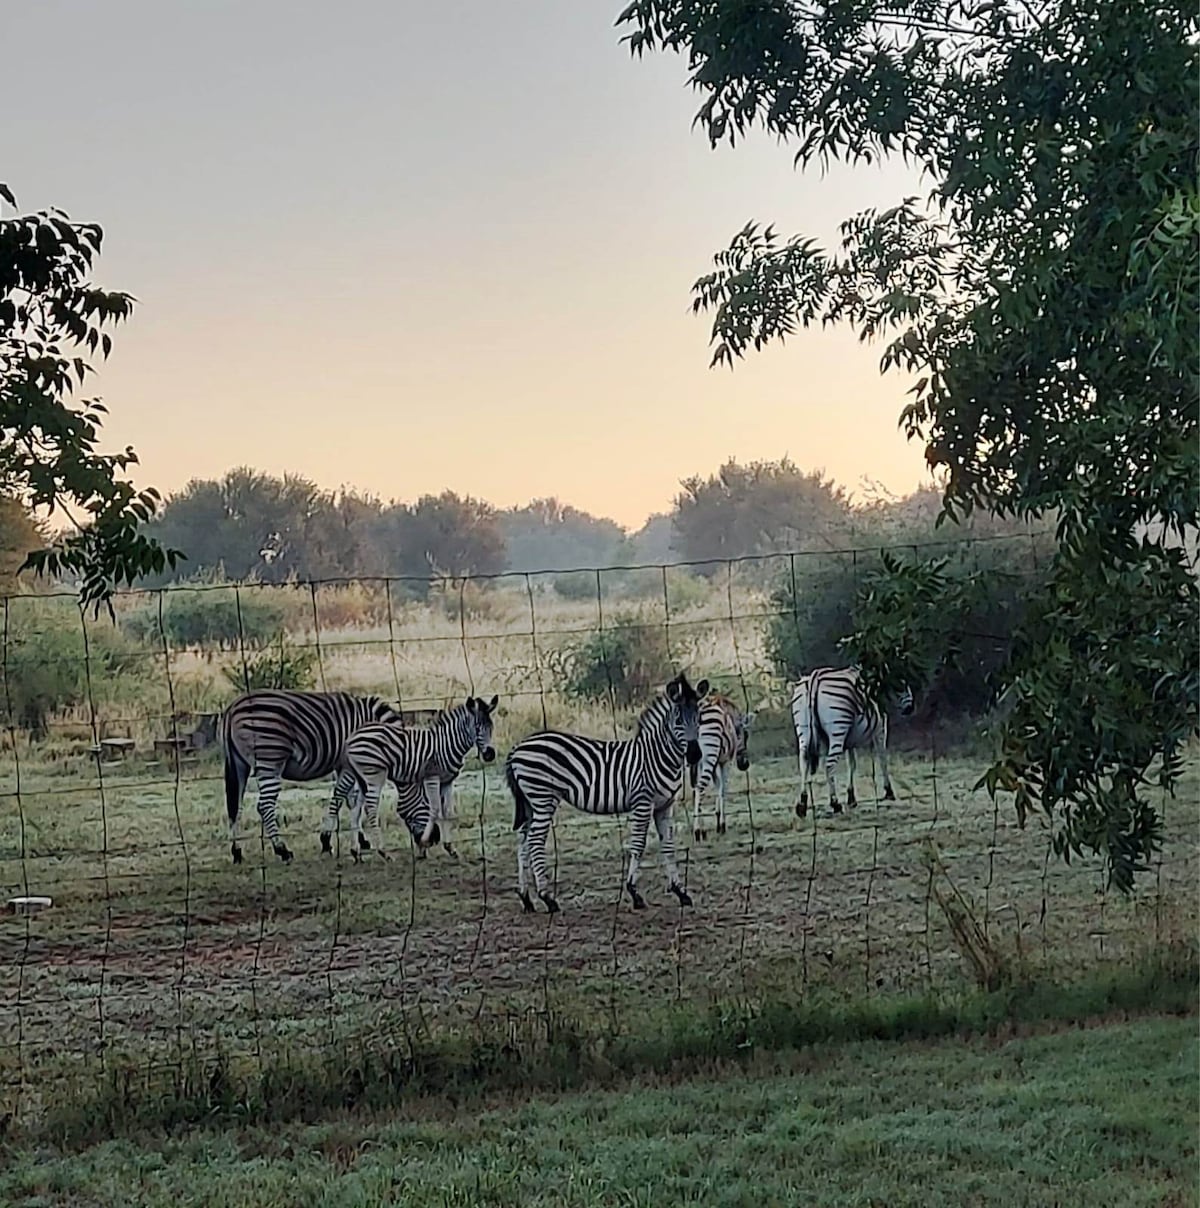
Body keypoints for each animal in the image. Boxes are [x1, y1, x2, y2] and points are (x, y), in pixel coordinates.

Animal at [217, 690, 401, 869]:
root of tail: (232, 709)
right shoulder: (349, 765)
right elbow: (339, 797)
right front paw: (326, 840)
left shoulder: (346, 766)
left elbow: (351, 801)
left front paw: (361, 840)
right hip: (270, 758)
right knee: (265, 806)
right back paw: (282, 850)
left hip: (240, 764)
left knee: (235, 808)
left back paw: (237, 851)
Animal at [326, 695, 497, 864]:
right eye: (477, 727)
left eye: (491, 727)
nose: (490, 754)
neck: (447, 744)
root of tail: (352, 737)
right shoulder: (431, 777)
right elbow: (435, 809)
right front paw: (425, 841)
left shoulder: (447, 781)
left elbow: (447, 812)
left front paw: (451, 848)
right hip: (375, 775)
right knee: (371, 808)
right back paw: (383, 852)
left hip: (360, 778)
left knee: (356, 810)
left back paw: (356, 851)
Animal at [502, 671, 705, 913]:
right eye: (678, 720)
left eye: (699, 718)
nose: (694, 755)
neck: (656, 755)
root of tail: (517, 748)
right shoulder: (642, 802)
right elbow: (638, 845)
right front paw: (634, 893)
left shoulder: (664, 806)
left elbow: (668, 847)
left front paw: (680, 892)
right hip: (543, 798)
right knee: (534, 841)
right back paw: (548, 898)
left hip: (530, 802)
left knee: (523, 842)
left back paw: (526, 898)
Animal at [686, 695, 754, 845]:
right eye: (745, 735)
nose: (745, 765)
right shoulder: (725, 762)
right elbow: (723, 789)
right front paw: (722, 825)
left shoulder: (714, 763)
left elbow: (717, 786)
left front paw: (715, 819)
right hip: (708, 758)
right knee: (700, 788)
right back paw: (696, 831)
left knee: (695, 790)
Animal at [792, 666, 913, 816]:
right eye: (902, 684)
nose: (910, 709)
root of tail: (814, 678)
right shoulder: (879, 729)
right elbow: (882, 759)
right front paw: (889, 791)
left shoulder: (848, 740)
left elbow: (852, 764)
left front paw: (851, 797)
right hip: (838, 729)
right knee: (829, 765)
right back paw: (835, 804)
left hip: (804, 730)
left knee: (804, 763)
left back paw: (802, 804)